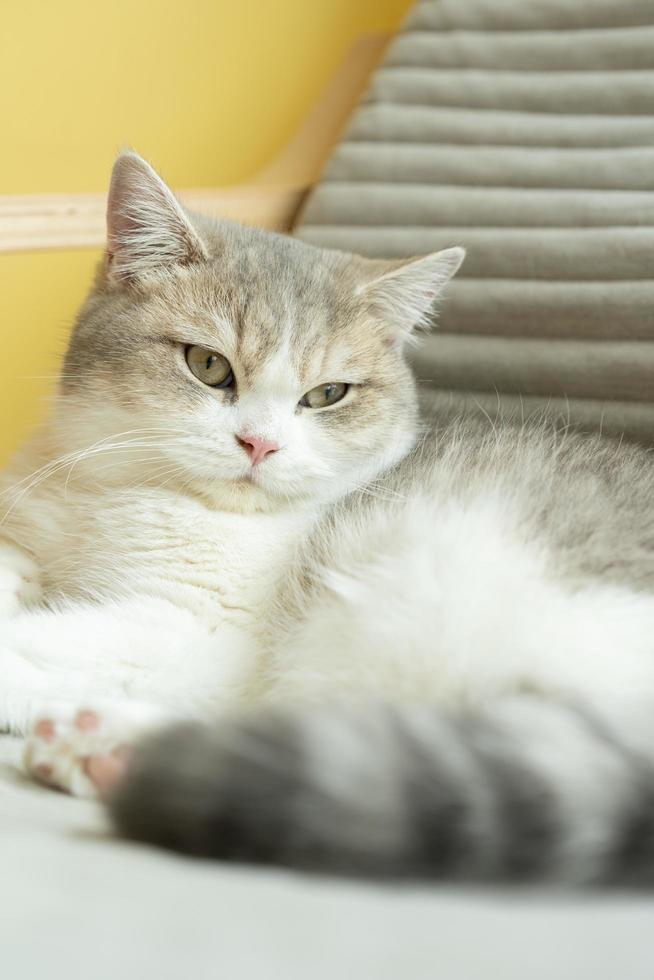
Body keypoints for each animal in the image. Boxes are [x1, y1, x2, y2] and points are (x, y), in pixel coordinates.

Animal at [3, 149, 654, 884]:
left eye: (327, 395)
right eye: (208, 364)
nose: (259, 443)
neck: (123, 487)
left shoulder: (194, 630)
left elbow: (41, 643)